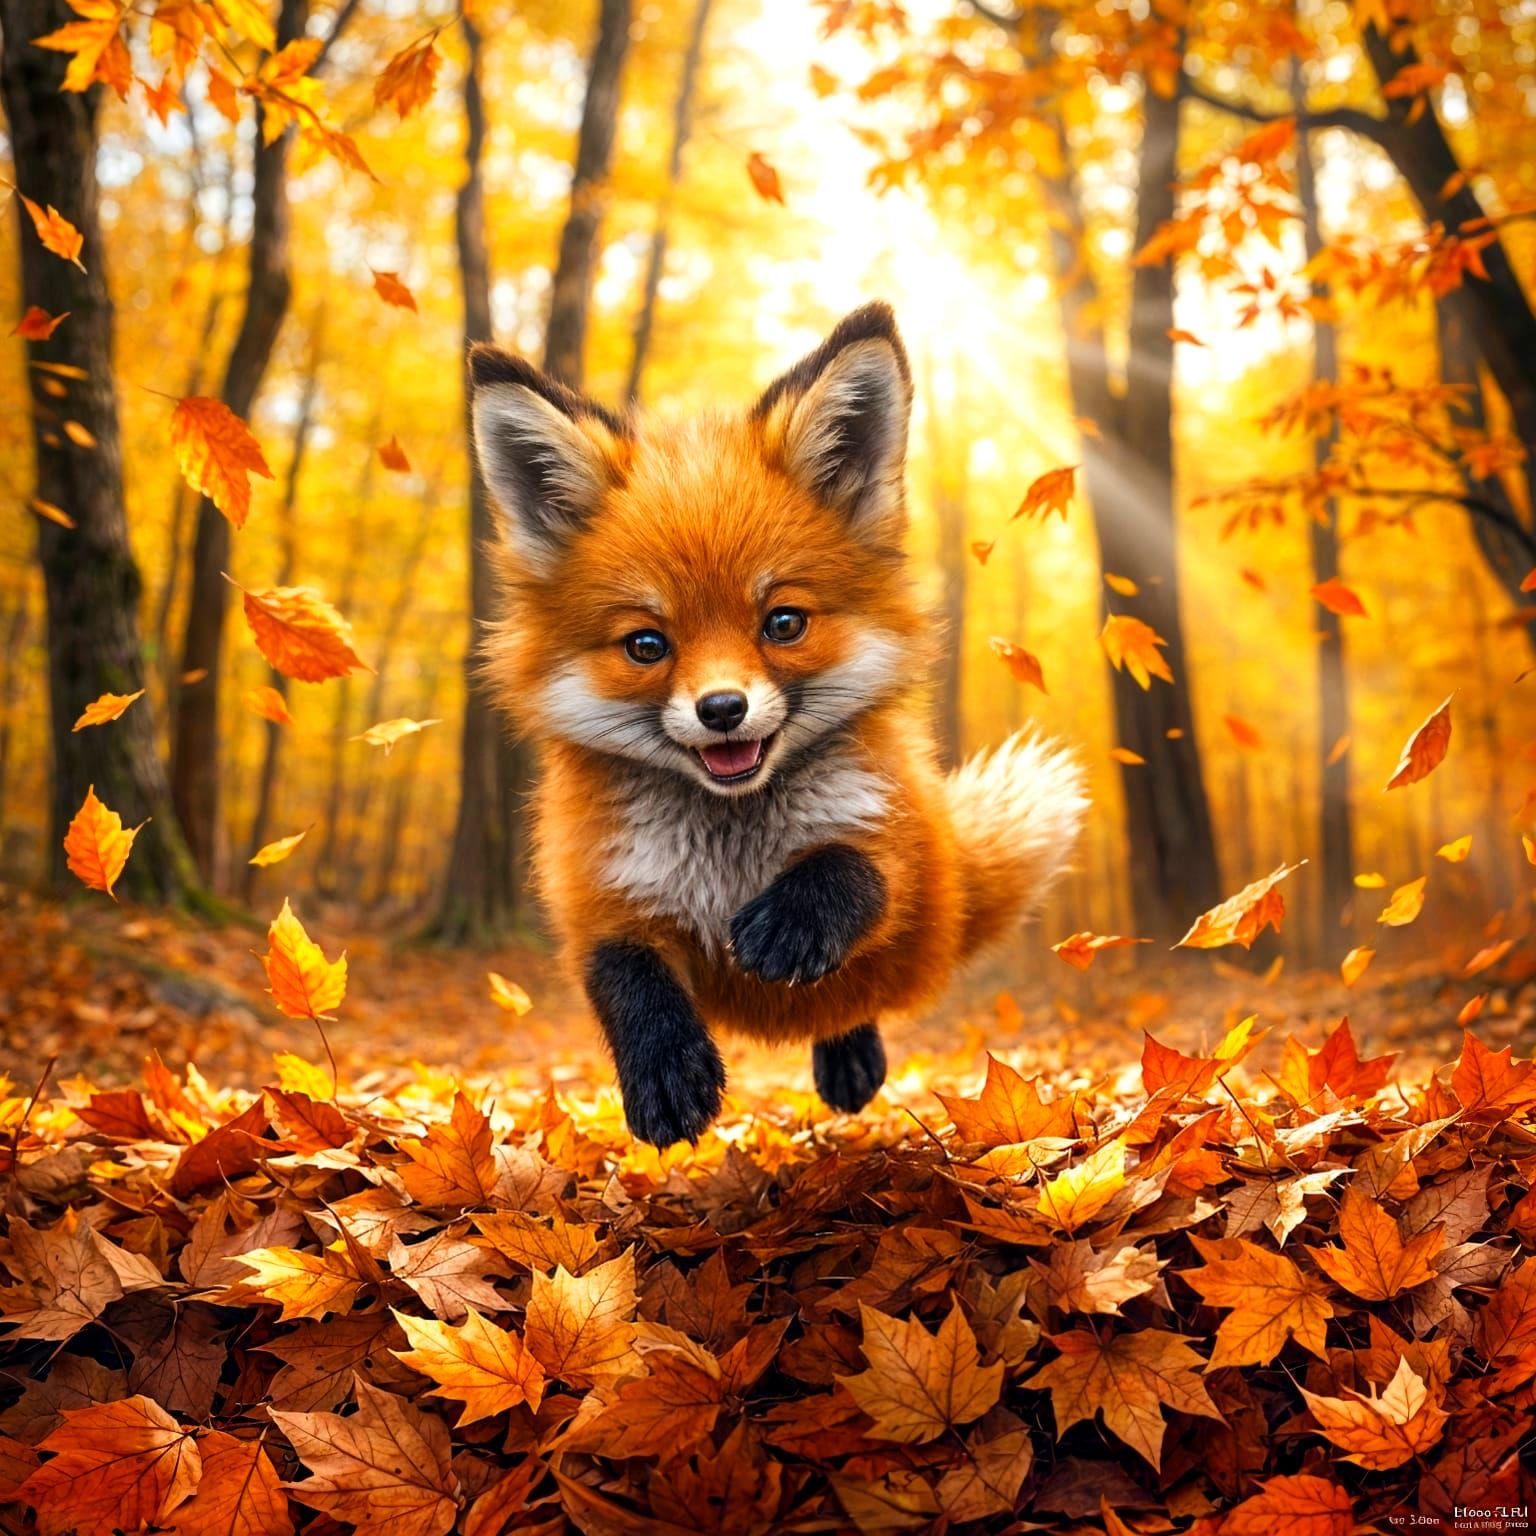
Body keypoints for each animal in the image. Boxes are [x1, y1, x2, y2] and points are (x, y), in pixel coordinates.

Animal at [468, 302, 1087, 1146]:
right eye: (646, 645)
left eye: (783, 622)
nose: (722, 709)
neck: (731, 850)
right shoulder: (595, 888)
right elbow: (622, 971)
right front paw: (664, 1074)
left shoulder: (911, 863)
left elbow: (855, 869)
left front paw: (792, 922)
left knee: (856, 999)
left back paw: (849, 1055)